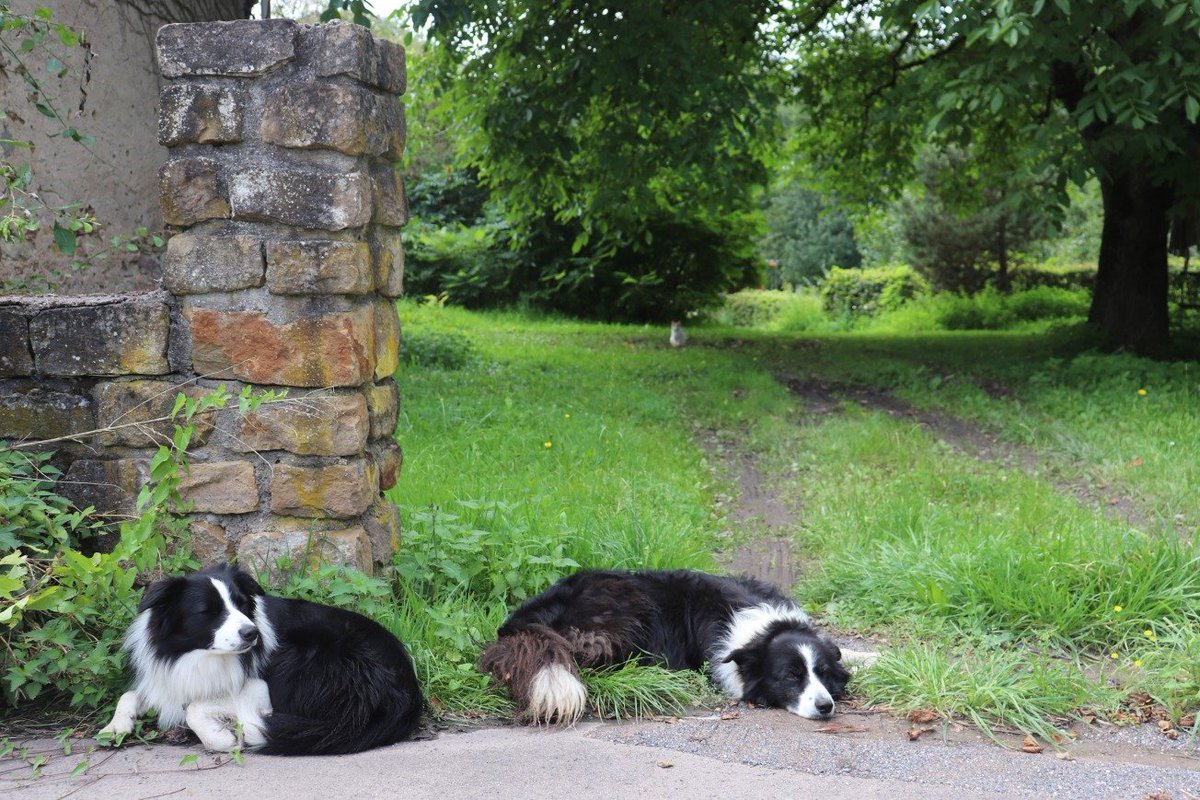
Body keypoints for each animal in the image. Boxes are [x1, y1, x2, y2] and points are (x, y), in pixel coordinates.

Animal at [100, 563, 424, 758]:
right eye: (208, 611)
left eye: (242, 605)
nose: (252, 634)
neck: (196, 656)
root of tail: (408, 690)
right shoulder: (165, 678)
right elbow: (131, 695)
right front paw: (115, 727)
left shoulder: (258, 688)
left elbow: (194, 707)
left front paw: (221, 737)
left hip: (300, 660)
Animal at [480, 568, 854, 724]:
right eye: (791, 676)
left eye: (822, 673)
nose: (826, 706)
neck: (764, 627)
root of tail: (524, 618)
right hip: (630, 604)